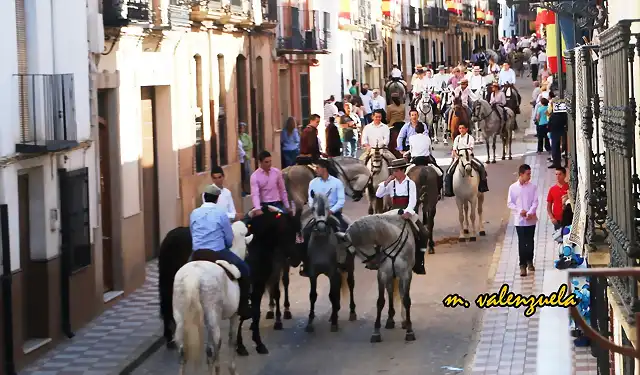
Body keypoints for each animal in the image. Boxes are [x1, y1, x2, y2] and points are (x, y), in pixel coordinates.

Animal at [175, 223, 255, 375]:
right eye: (247, 248)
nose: (248, 254)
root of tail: (194, 276)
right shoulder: (234, 316)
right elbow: (232, 340)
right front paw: (232, 369)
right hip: (213, 314)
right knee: (217, 345)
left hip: (181, 317)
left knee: (183, 350)